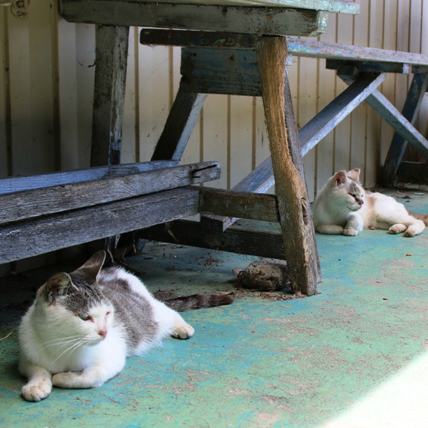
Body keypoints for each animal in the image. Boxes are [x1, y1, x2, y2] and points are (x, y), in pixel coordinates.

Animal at [19, 251, 234, 402]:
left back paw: (182, 327)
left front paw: (61, 378)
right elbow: (37, 369)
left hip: (151, 312)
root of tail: (115, 270)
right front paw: (37, 385)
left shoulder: (112, 358)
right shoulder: (27, 355)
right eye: (85, 318)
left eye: (107, 313)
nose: (104, 332)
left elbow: (90, 376)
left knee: (168, 310)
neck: (62, 344)